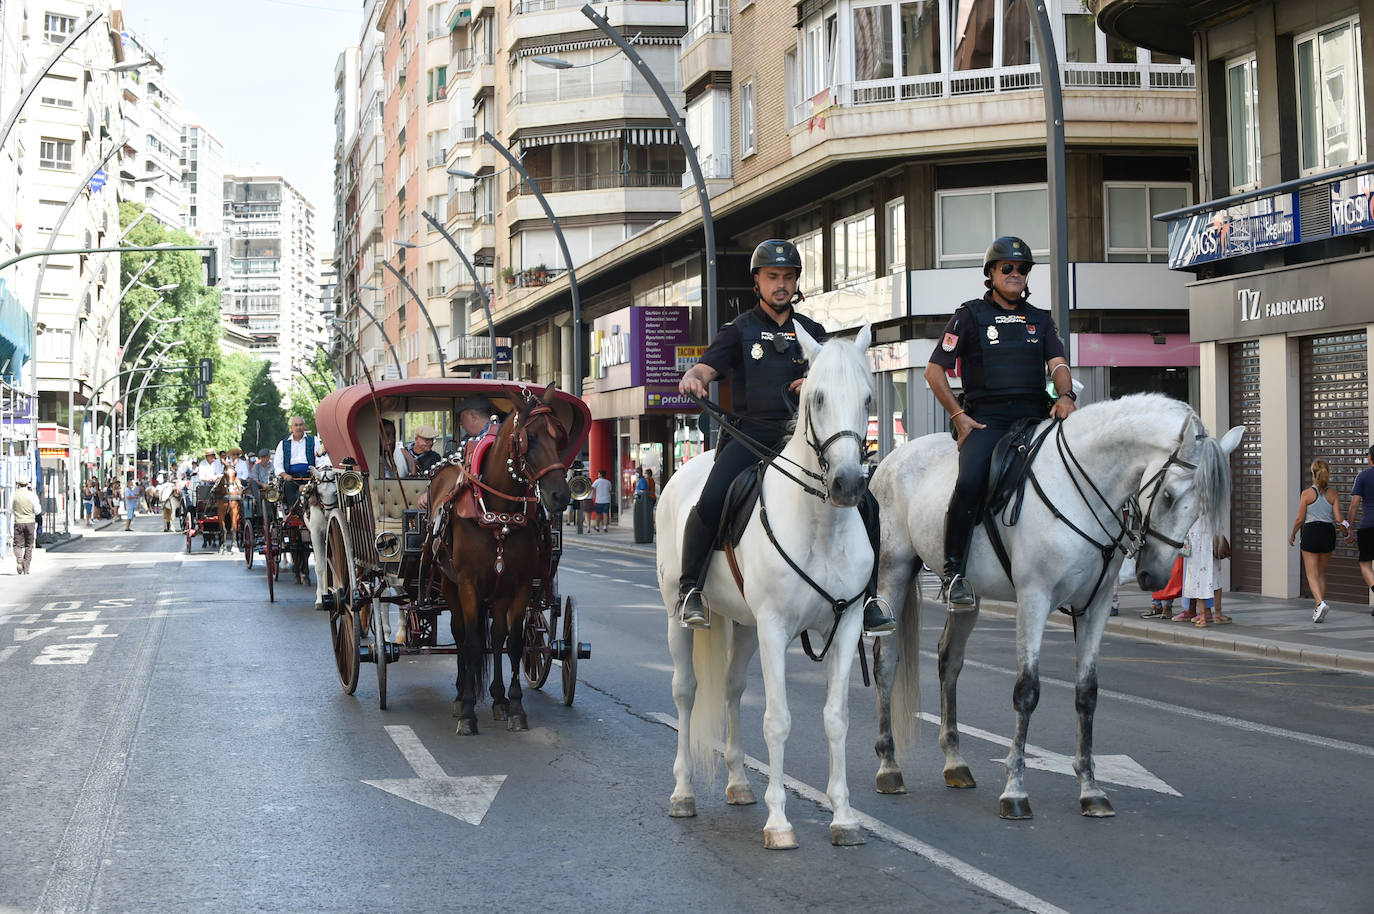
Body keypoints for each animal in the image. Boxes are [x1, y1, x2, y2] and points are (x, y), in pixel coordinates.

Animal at [426, 382, 571, 735]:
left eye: (558, 435)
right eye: (529, 438)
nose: (560, 495)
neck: (497, 514)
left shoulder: (518, 585)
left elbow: (514, 642)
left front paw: (514, 706)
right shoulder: (468, 584)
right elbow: (473, 643)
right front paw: (467, 712)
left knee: (496, 637)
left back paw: (497, 698)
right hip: (449, 584)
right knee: (462, 636)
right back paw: (461, 694)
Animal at [656, 324, 875, 850]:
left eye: (868, 399)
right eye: (817, 397)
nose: (848, 485)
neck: (820, 525)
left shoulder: (847, 625)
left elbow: (836, 718)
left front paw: (844, 818)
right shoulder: (776, 628)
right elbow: (777, 720)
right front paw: (779, 822)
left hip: (746, 625)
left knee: (733, 689)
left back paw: (737, 783)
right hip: (678, 615)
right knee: (685, 692)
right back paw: (683, 792)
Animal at [868, 393, 1243, 819]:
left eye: (1202, 508)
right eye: (1168, 496)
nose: (1154, 576)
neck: (1080, 490)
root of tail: (891, 458)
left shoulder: (1095, 607)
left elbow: (1087, 693)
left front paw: (1091, 789)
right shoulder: (1035, 598)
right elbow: (1027, 690)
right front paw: (1015, 791)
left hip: (968, 596)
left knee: (950, 661)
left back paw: (955, 763)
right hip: (894, 571)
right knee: (886, 661)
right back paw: (889, 766)